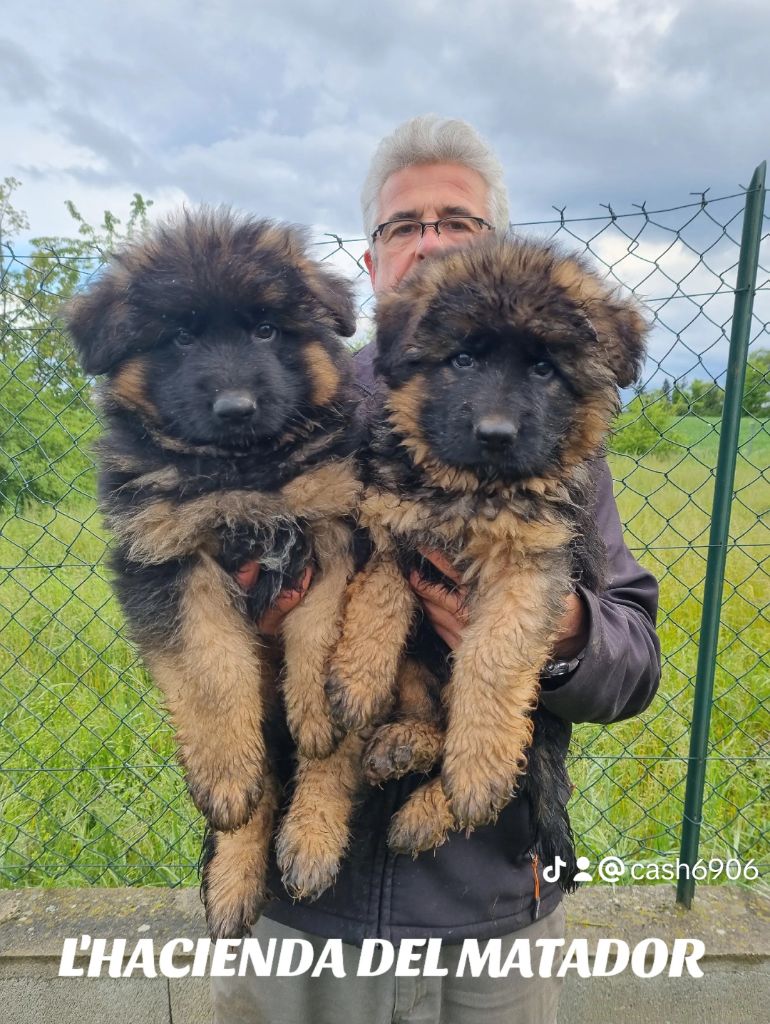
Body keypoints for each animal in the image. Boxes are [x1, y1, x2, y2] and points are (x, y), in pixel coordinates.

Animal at [64, 211, 360, 937]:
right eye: (181, 335)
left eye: (266, 329)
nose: (236, 407)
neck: (242, 471)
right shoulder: (165, 557)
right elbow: (210, 667)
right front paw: (225, 774)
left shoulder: (337, 526)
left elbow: (320, 634)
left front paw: (317, 709)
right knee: (263, 783)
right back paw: (233, 879)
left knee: (327, 764)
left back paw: (311, 842)